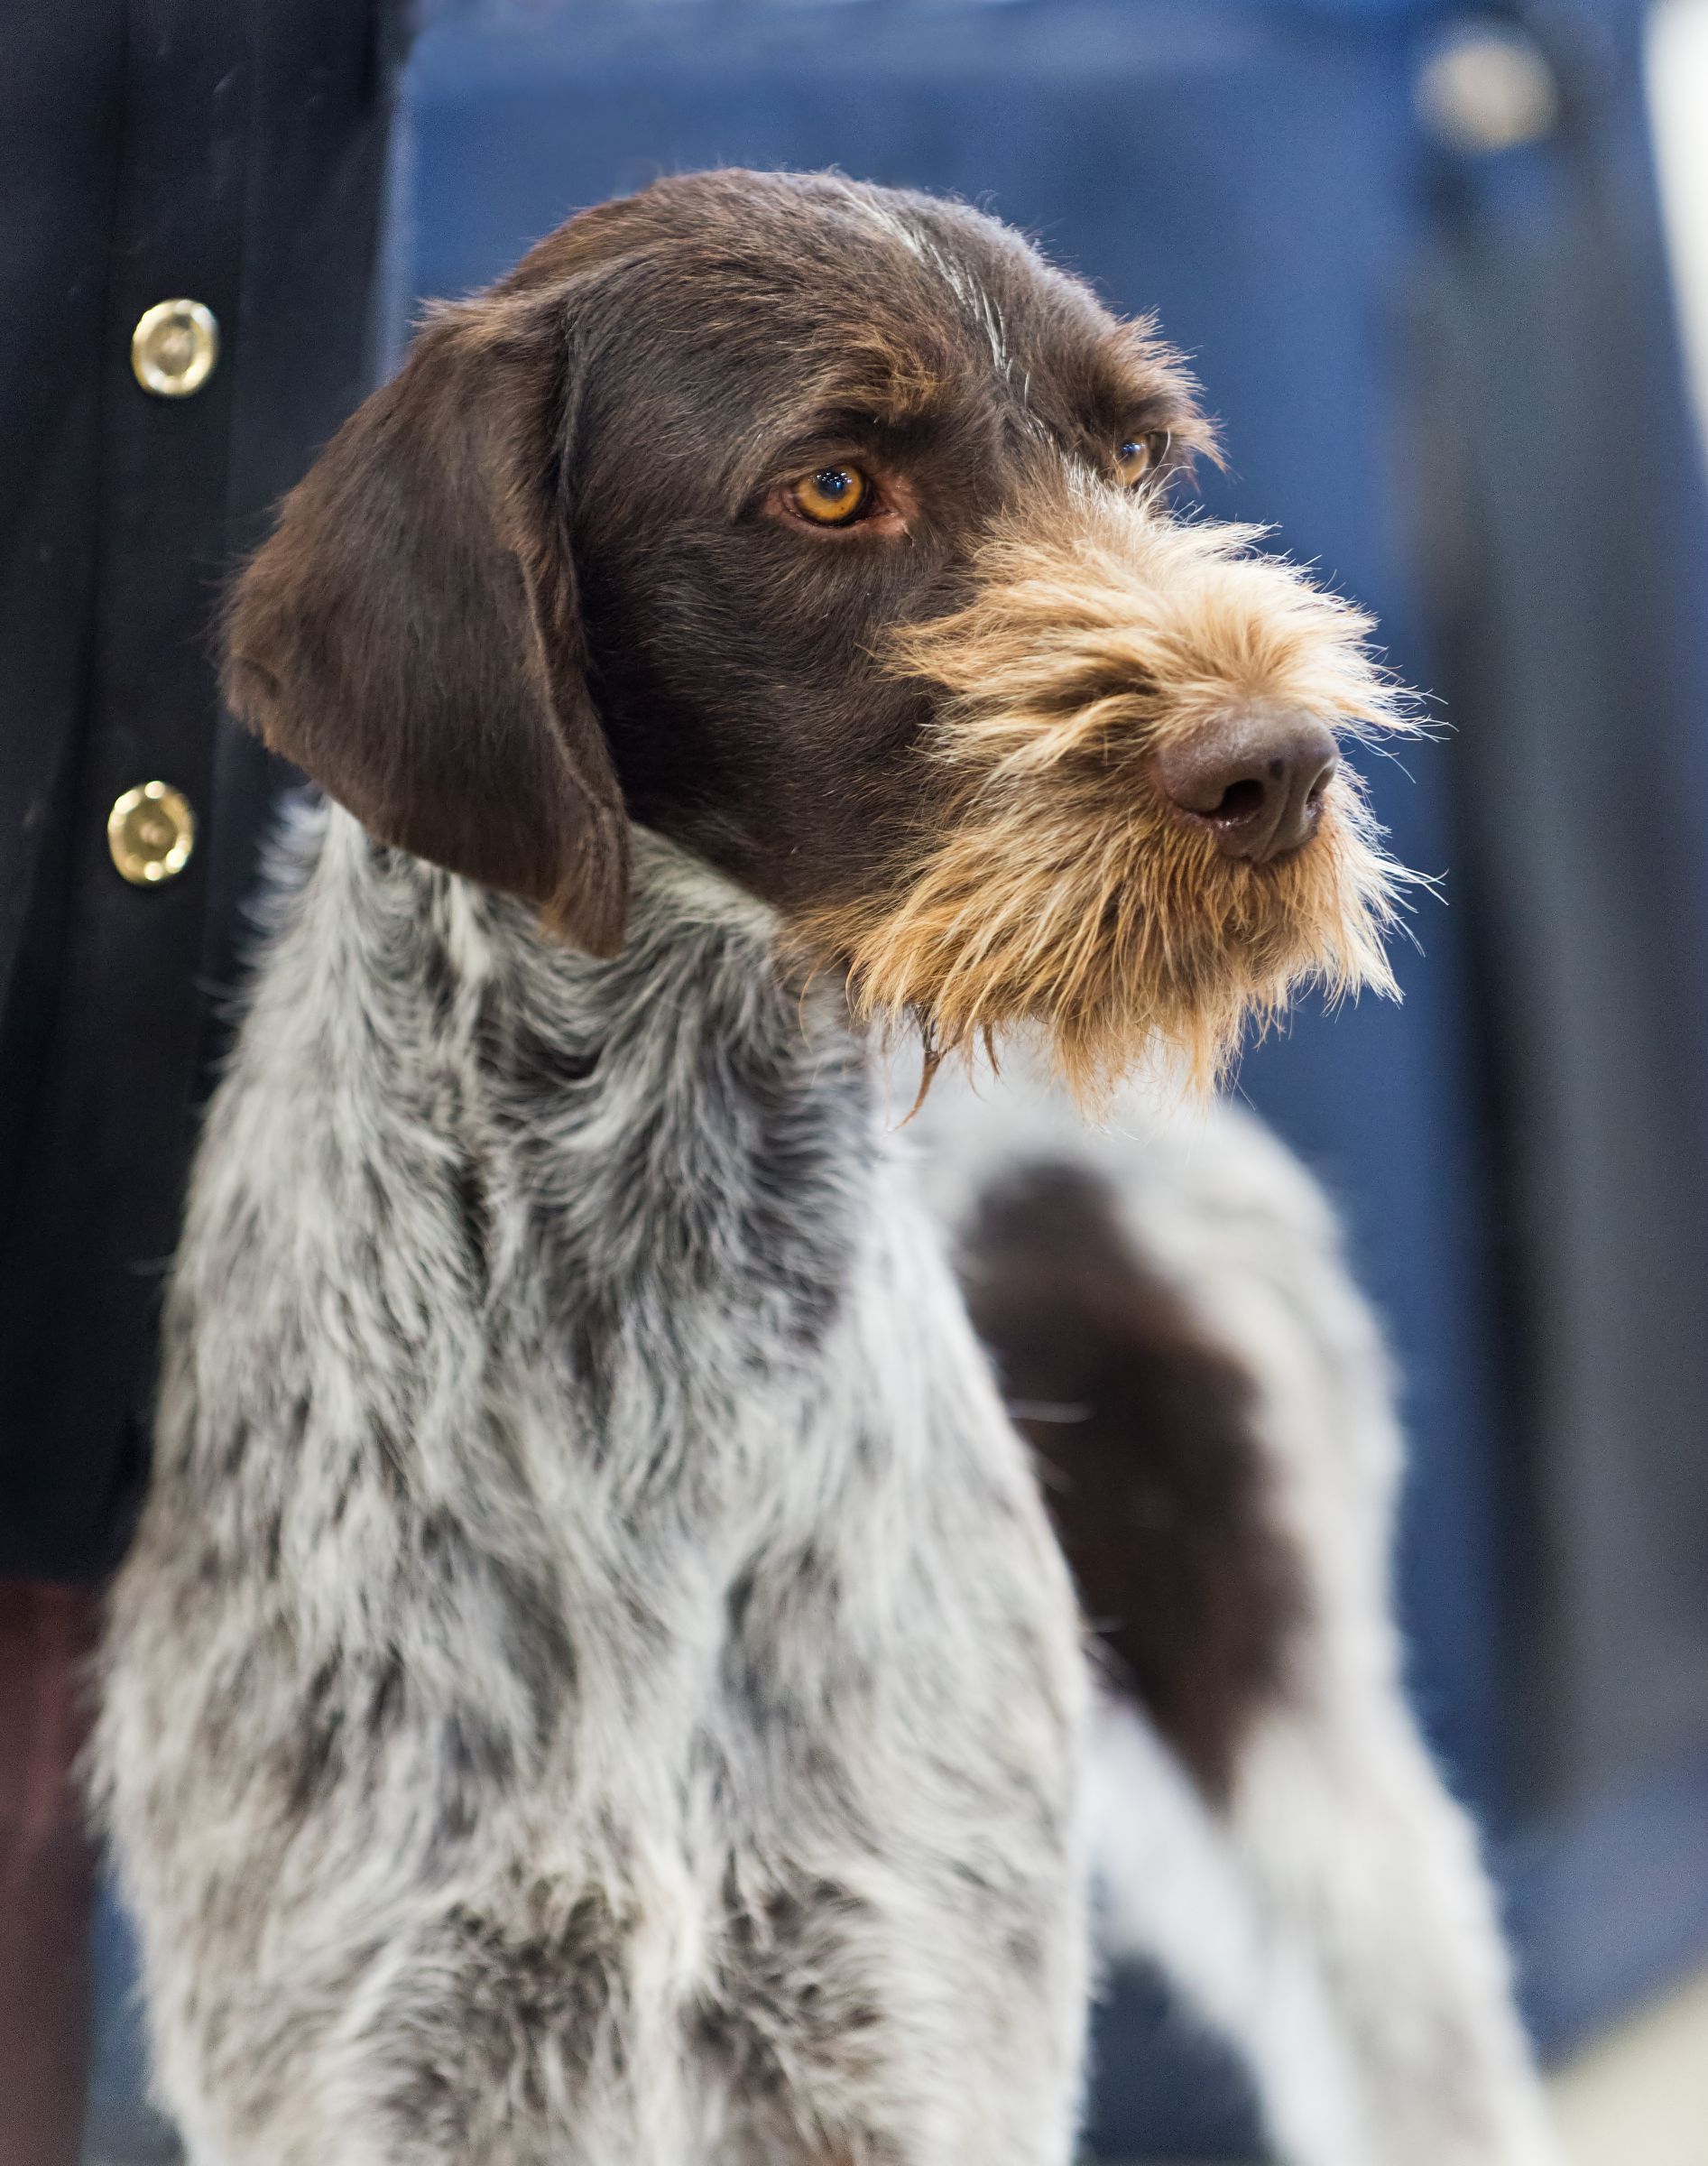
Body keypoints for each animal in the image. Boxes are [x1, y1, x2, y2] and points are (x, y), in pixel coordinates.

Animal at [93, 173, 1549, 2166]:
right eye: (834, 488)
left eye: (1132, 459)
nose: (1280, 768)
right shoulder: (375, 2047)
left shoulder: (901, 2018)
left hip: (1317, 1786)